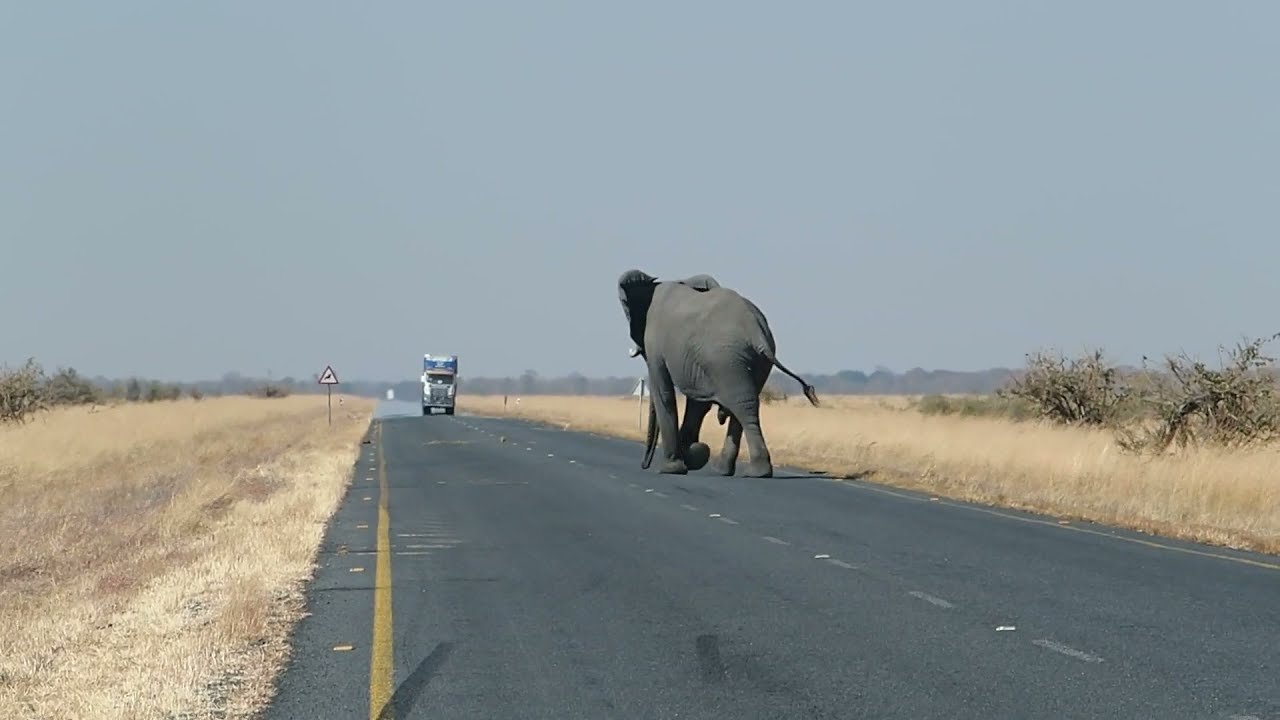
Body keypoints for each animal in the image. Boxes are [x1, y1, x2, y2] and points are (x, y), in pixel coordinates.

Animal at [617, 269, 820, 477]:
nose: (644, 465)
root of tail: (757, 333)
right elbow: (698, 404)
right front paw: (694, 456)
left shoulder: (655, 343)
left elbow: (664, 394)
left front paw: (671, 469)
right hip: (748, 361)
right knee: (746, 404)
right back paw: (729, 470)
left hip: (724, 359)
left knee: (742, 406)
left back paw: (755, 472)